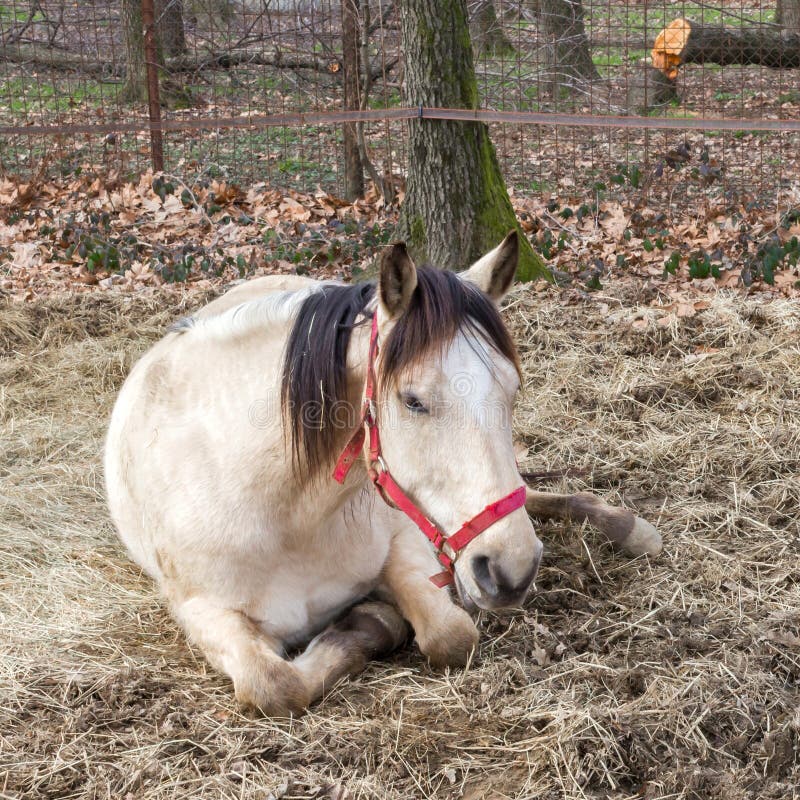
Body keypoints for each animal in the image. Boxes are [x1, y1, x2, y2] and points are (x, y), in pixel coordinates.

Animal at [103, 234, 660, 716]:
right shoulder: (199, 610)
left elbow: (452, 636)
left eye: (512, 390)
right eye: (412, 400)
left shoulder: (406, 539)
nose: (512, 571)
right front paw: (372, 619)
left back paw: (627, 527)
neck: (283, 512)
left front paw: (377, 617)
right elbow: (274, 685)